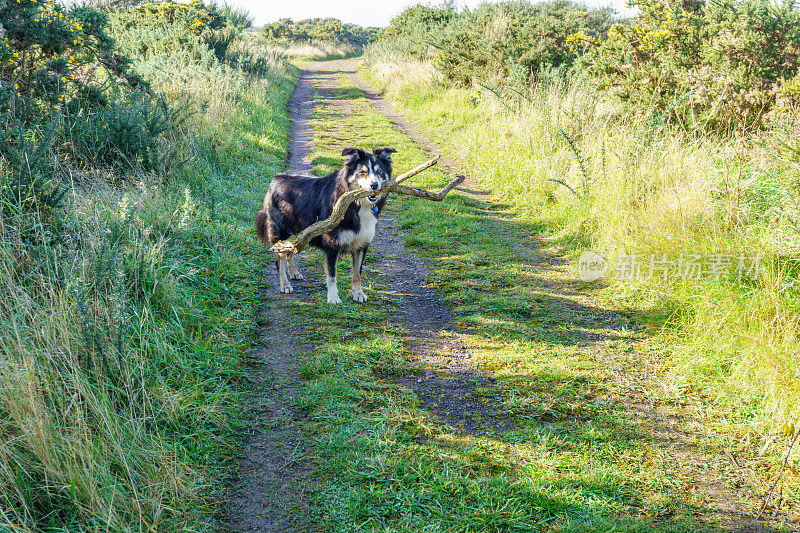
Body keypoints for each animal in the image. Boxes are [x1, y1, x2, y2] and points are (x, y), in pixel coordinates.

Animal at [255, 145, 396, 304]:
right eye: (362, 172)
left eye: (379, 171)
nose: (374, 185)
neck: (357, 204)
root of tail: (276, 178)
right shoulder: (332, 245)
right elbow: (332, 275)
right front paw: (333, 297)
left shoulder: (362, 244)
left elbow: (357, 273)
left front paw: (358, 293)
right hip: (281, 232)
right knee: (279, 260)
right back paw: (285, 284)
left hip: (301, 234)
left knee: (290, 252)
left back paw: (293, 273)